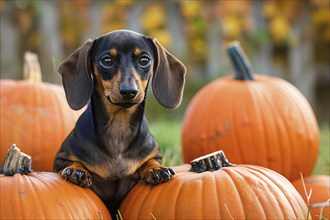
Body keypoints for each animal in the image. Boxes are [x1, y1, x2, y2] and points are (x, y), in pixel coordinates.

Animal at [53, 29, 187, 217]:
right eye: (107, 61)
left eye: (144, 60)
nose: (129, 91)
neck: (119, 128)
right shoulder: (60, 159)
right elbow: (72, 162)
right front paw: (76, 170)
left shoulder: (153, 155)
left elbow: (150, 160)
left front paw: (155, 169)